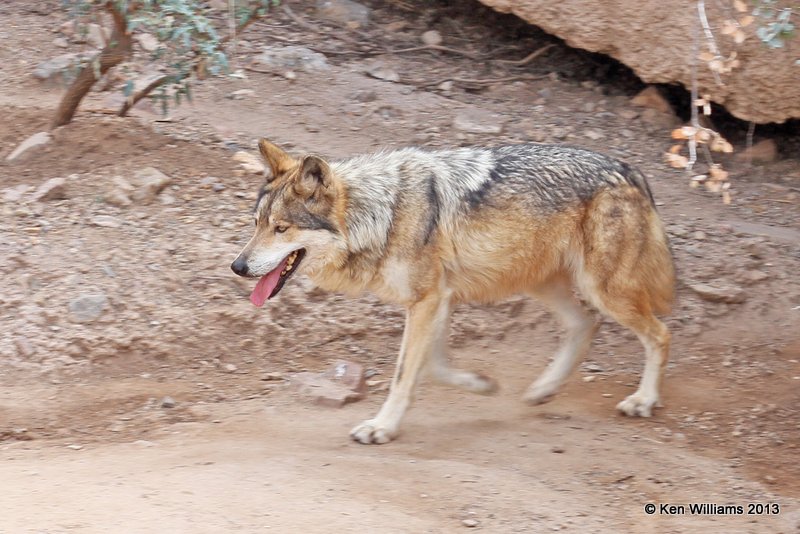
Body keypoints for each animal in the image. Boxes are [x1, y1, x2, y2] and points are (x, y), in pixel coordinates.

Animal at [230, 137, 676, 444]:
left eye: (281, 228)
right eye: (255, 223)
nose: (238, 267)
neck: (382, 215)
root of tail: (628, 168)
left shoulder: (427, 301)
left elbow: (405, 374)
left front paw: (381, 427)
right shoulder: (435, 300)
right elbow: (434, 366)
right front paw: (482, 385)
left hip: (601, 289)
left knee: (659, 333)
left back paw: (643, 400)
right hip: (544, 284)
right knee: (586, 323)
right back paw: (544, 389)